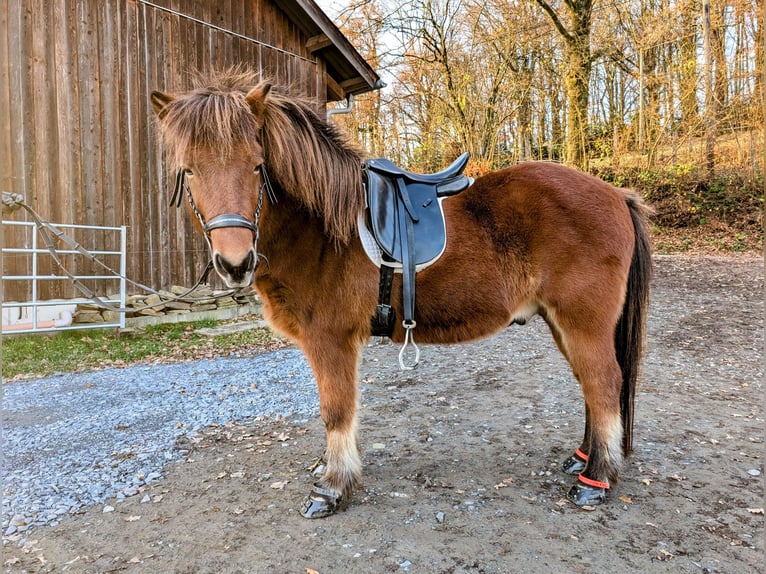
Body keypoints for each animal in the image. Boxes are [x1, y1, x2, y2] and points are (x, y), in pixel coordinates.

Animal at [152, 70, 656, 520]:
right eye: (189, 170)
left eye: (257, 166)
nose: (235, 262)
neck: (321, 229)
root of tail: (616, 194)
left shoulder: (330, 340)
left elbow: (336, 410)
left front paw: (333, 487)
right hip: (563, 323)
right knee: (591, 386)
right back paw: (584, 459)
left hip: (582, 322)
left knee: (603, 384)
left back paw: (596, 480)